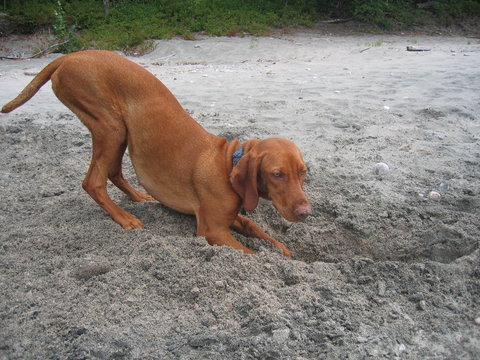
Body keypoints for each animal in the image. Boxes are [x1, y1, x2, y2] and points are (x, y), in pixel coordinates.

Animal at [1, 50, 312, 256]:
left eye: (303, 173)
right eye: (276, 174)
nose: (306, 213)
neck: (228, 163)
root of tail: (70, 55)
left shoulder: (232, 218)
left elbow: (261, 233)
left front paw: (284, 252)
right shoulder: (213, 230)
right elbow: (250, 254)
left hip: (120, 131)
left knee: (112, 171)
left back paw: (138, 198)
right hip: (110, 127)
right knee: (93, 181)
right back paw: (125, 218)